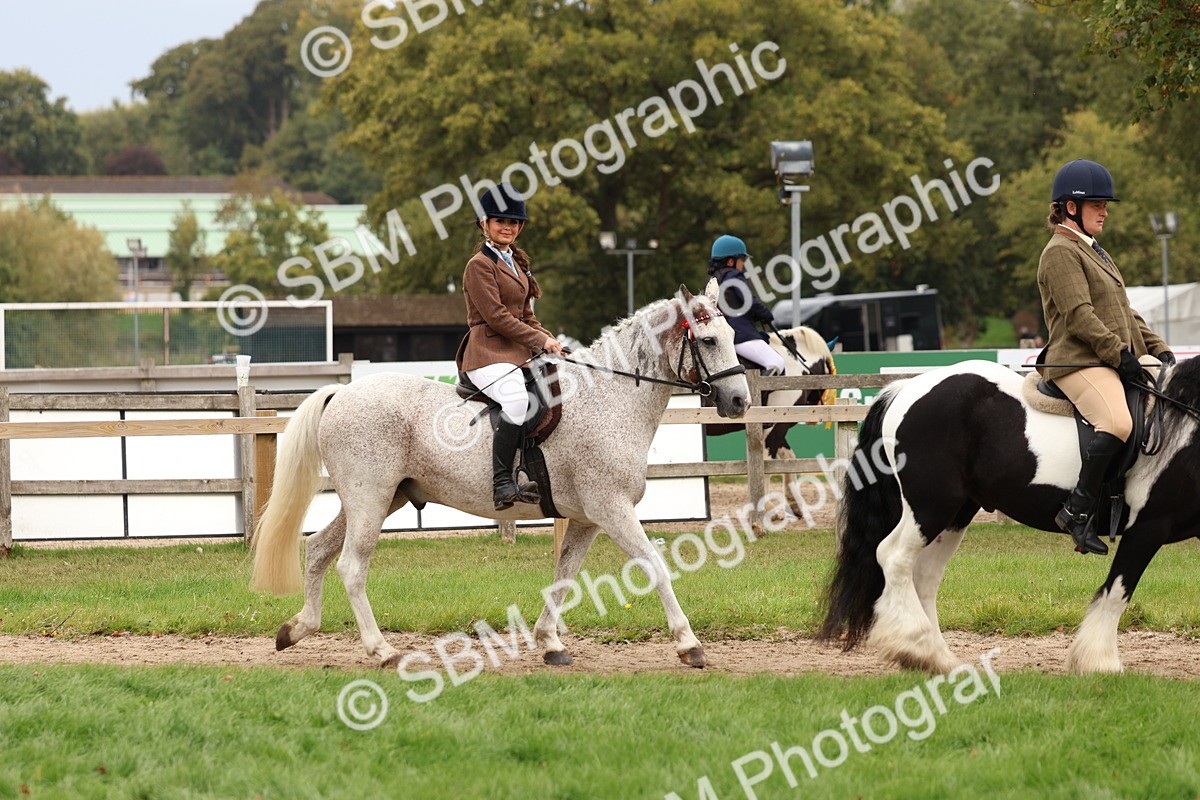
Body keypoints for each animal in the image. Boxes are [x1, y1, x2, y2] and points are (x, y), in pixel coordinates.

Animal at [250, 281, 751, 669]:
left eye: (732, 334)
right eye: (709, 341)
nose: (740, 402)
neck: (609, 397)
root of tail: (341, 392)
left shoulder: (587, 518)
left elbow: (564, 575)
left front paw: (550, 644)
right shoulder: (612, 508)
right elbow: (655, 566)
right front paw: (689, 644)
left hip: (380, 497)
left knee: (318, 550)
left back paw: (297, 629)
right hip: (369, 497)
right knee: (352, 566)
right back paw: (383, 651)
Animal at [819, 358, 1200, 675]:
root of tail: (904, 388)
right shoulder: (1148, 527)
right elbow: (1118, 590)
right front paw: (1099, 662)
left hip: (955, 513)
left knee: (924, 575)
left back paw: (939, 658)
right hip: (931, 506)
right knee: (894, 557)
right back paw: (917, 647)